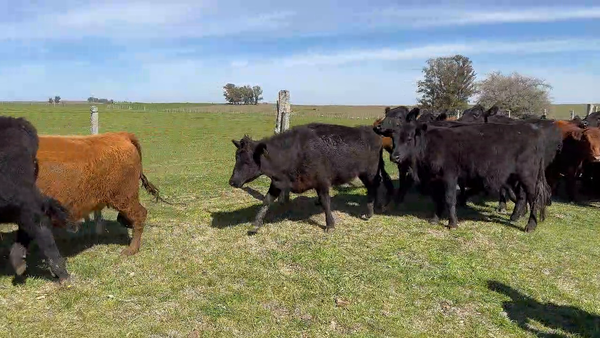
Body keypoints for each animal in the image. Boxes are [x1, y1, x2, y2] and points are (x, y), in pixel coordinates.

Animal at [230, 123, 394, 234]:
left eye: (247, 161)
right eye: (236, 157)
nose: (232, 181)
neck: (294, 153)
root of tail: (372, 132)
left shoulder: (322, 182)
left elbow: (326, 202)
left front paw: (330, 225)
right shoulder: (277, 183)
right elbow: (266, 201)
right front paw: (255, 225)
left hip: (369, 172)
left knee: (373, 186)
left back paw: (370, 212)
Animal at [386, 111, 552, 232]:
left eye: (409, 138)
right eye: (393, 138)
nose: (394, 157)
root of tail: (532, 130)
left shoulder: (450, 175)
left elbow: (449, 199)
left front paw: (452, 223)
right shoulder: (435, 179)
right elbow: (438, 199)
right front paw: (435, 218)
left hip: (528, 177)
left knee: (534, 198)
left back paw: (530, 225)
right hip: (516, 177)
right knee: (523, 196)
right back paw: (516, 216)